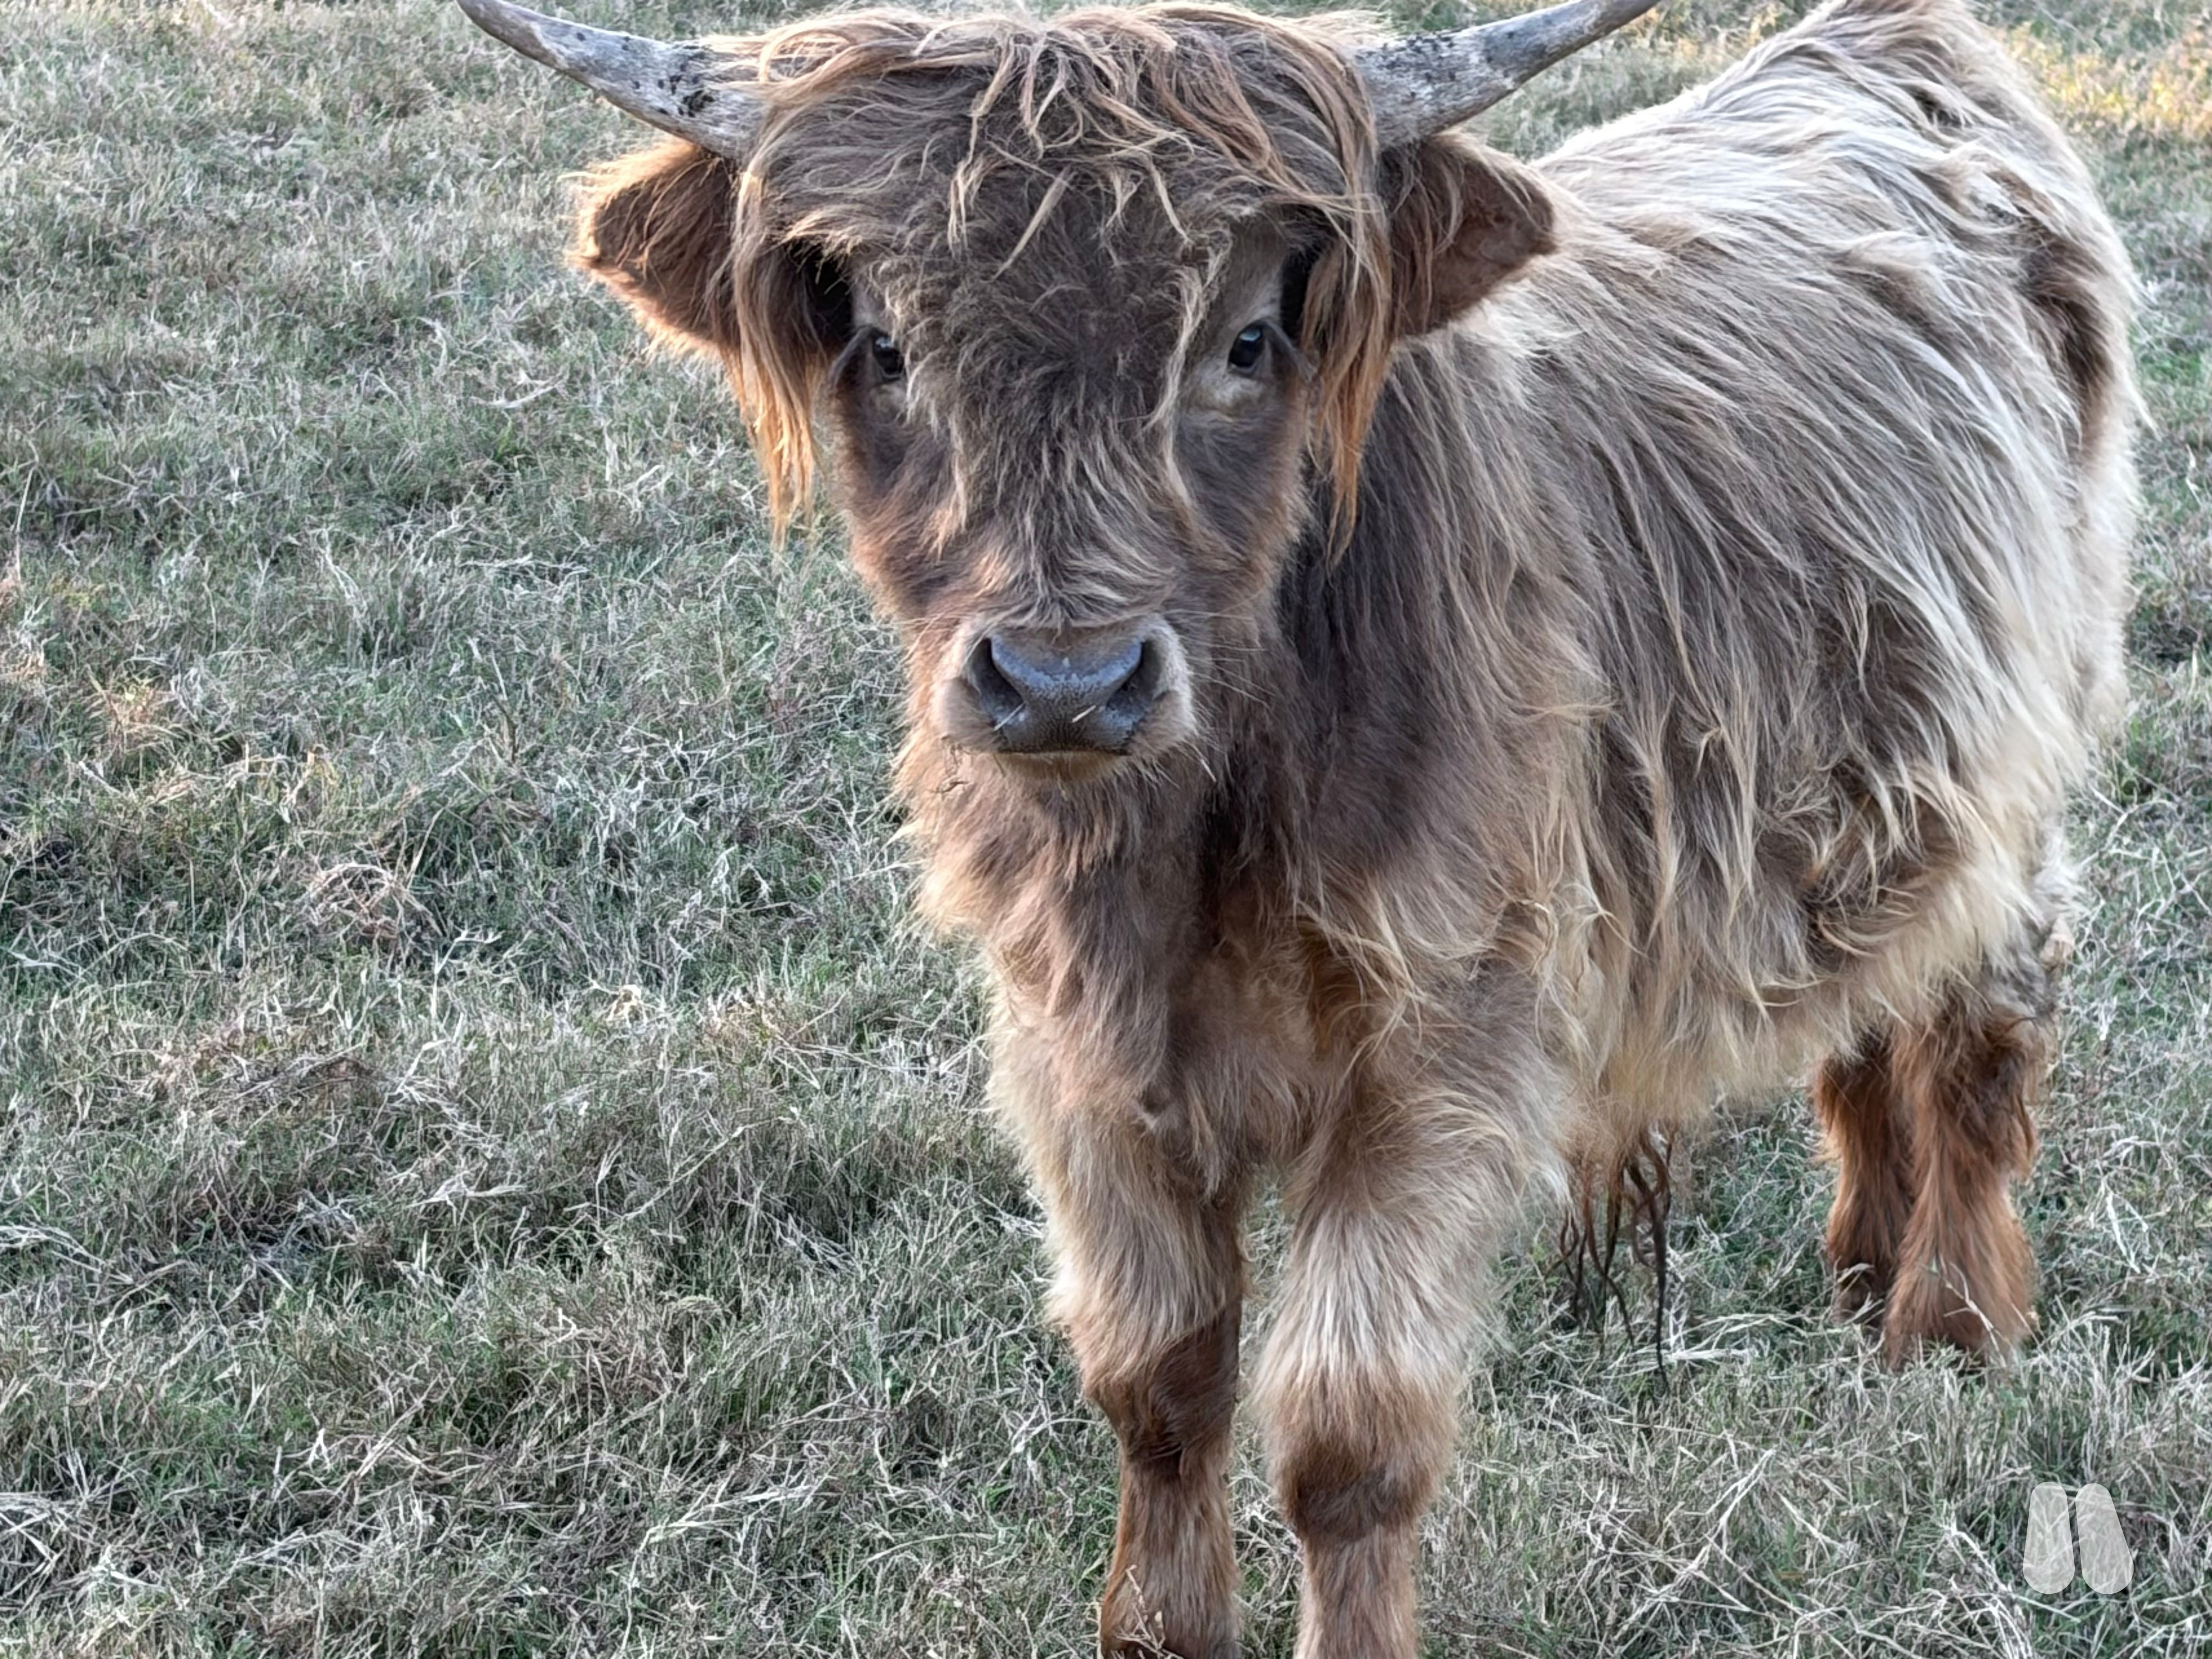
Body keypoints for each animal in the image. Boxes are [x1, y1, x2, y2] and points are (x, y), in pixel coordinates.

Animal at [458, 0, 2137, 1652]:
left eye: (1248, 339)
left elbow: (1346, 1433)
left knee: (1982, 1023)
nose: (1064, 680)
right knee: (1873, 989)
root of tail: (1888, 45)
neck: (1190, 847)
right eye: (882, 347)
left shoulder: (1442, 1051)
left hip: (2024, 765)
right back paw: (1862, 1267)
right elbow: (1157, 1379)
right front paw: (1157, 1626)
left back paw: (1948, 1327)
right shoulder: (1073, 1054)